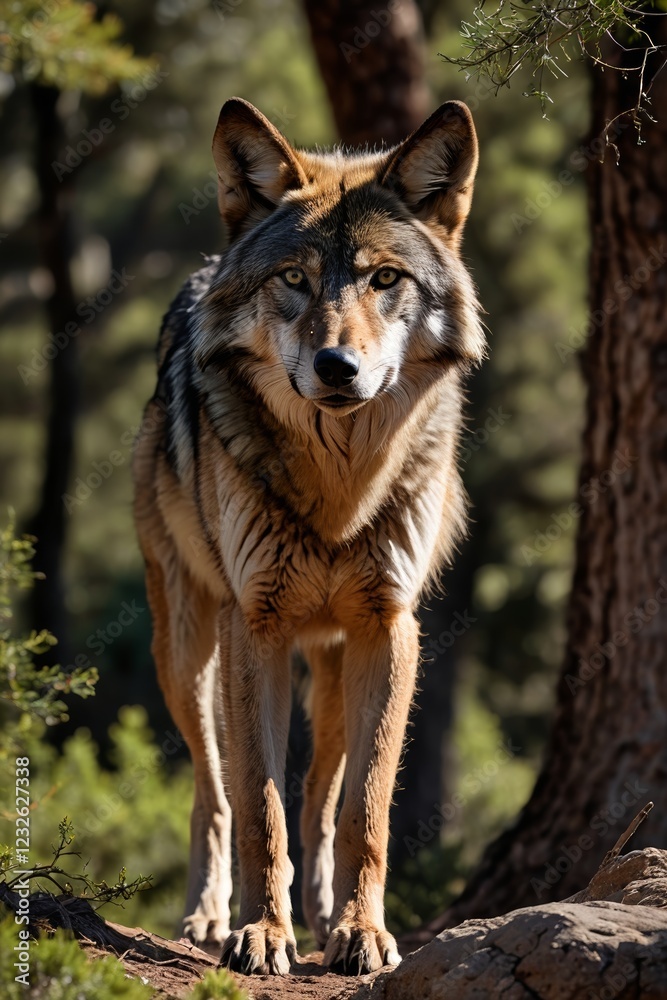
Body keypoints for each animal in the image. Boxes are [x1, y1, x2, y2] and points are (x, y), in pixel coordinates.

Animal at [133, 97, 484, 976]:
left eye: (384, 278)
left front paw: (360, 931)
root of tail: (206, 266)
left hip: (328, 664)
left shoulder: (389, 628)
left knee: (322, 792)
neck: (339, 491)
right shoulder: (254, 624)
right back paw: (208, 918)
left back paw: (325, 913)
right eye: (292, 279)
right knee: (213, 787)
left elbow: (364, 807)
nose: (336, 367)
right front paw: (261, 934)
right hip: (188, 649)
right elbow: (258, 802)